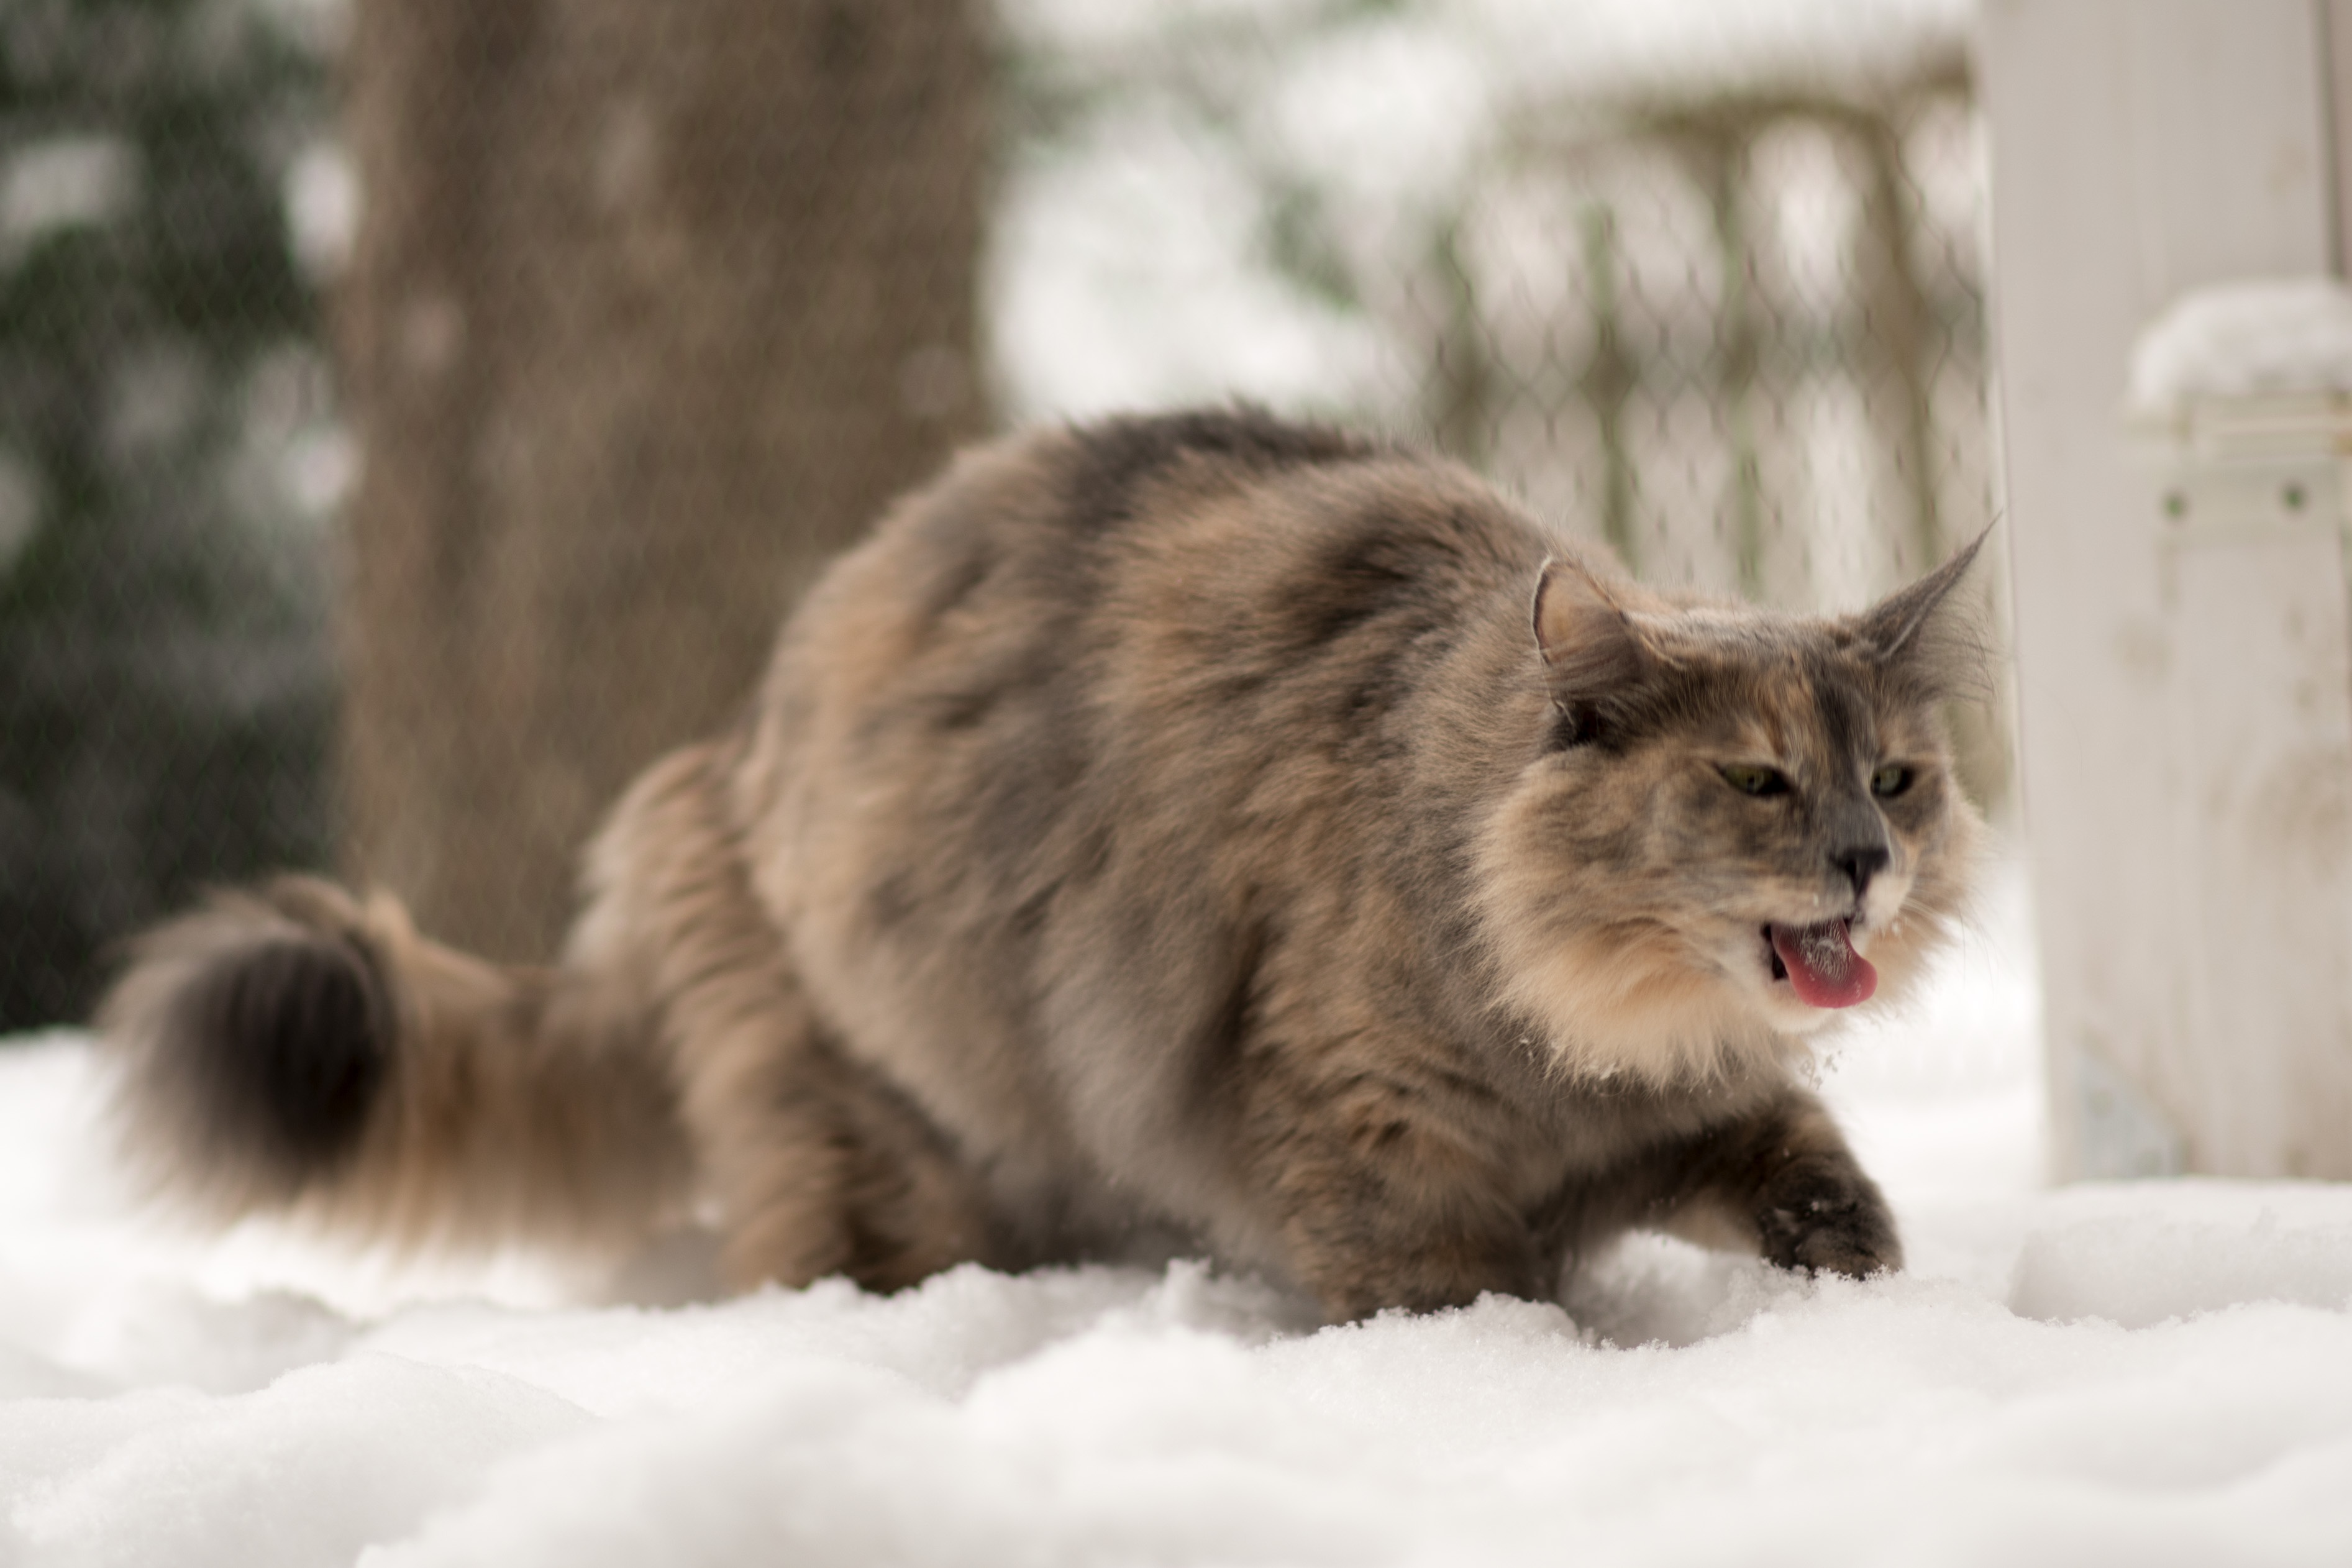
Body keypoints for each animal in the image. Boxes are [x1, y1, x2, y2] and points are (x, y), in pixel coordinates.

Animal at [96, 409, 1985, 1326]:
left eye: (1894, 774)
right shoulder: (1367, 1140)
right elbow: (1455, 1297)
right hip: (887, 1129)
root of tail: (714, 760)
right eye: (1755, 780)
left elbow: (1813, 1173)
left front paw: (1858, 1290)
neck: (1580, 1027)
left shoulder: (1681, 1112)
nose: (1865, 859)